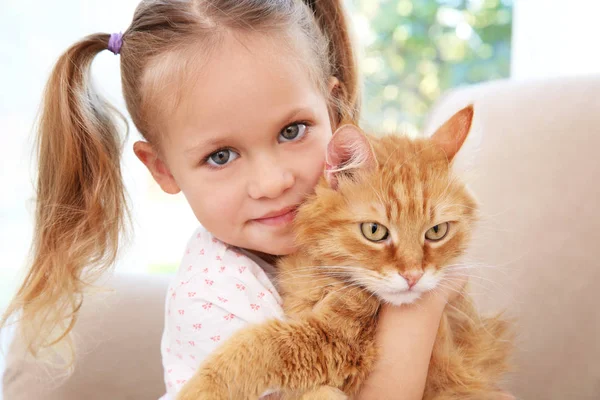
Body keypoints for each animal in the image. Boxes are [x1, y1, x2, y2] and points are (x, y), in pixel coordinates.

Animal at [177, 106, 510, 400]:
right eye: (374, 231)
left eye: (436, 232)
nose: (413, 276)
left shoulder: (336, 343)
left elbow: (258, 347)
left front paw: (203, 388)